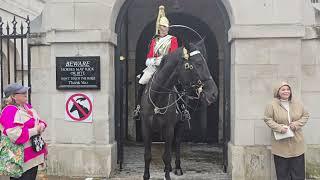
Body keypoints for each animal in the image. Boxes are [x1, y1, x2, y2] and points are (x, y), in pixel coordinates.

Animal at [140, 39, 218, 180]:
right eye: (198, 63)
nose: (214, 93)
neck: (158, 97)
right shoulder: (146, 127)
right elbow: (147, 155)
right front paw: (146, 176)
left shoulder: (169, 127)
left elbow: (167, 155)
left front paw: (167, 175)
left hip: (180, 124)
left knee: (176, 143)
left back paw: (177, 168)